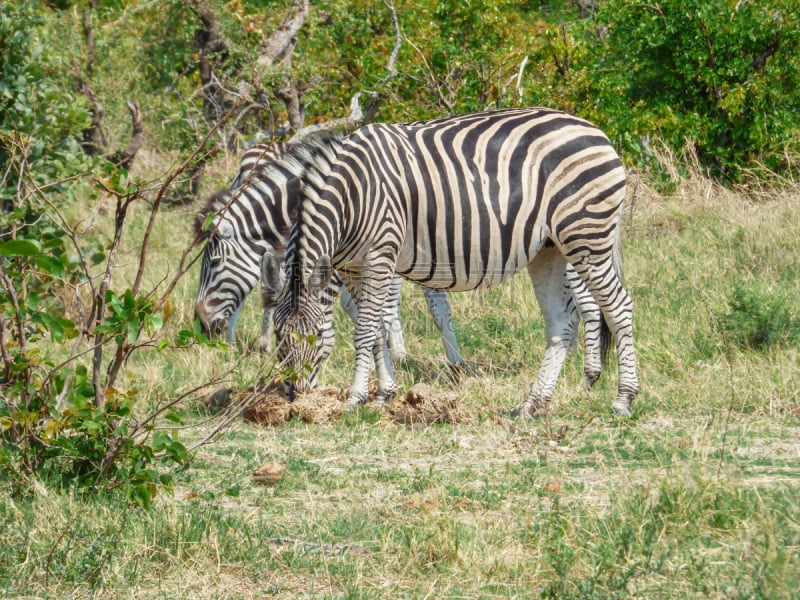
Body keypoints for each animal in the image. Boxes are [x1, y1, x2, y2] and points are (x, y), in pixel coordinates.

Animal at [266, 108, 640, 418]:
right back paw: (532, 403)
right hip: (549, 249)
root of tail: (596, 131)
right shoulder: (353, 268)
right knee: (562, 322)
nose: (295, 396)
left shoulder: (378, 256)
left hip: (586, 237)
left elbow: (366, 329)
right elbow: (374, 330)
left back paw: (623, 399)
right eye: (279, 339)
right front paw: (383, 394)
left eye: (316, 336)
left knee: (618, 306)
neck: (350, 196)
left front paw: (356, 398)